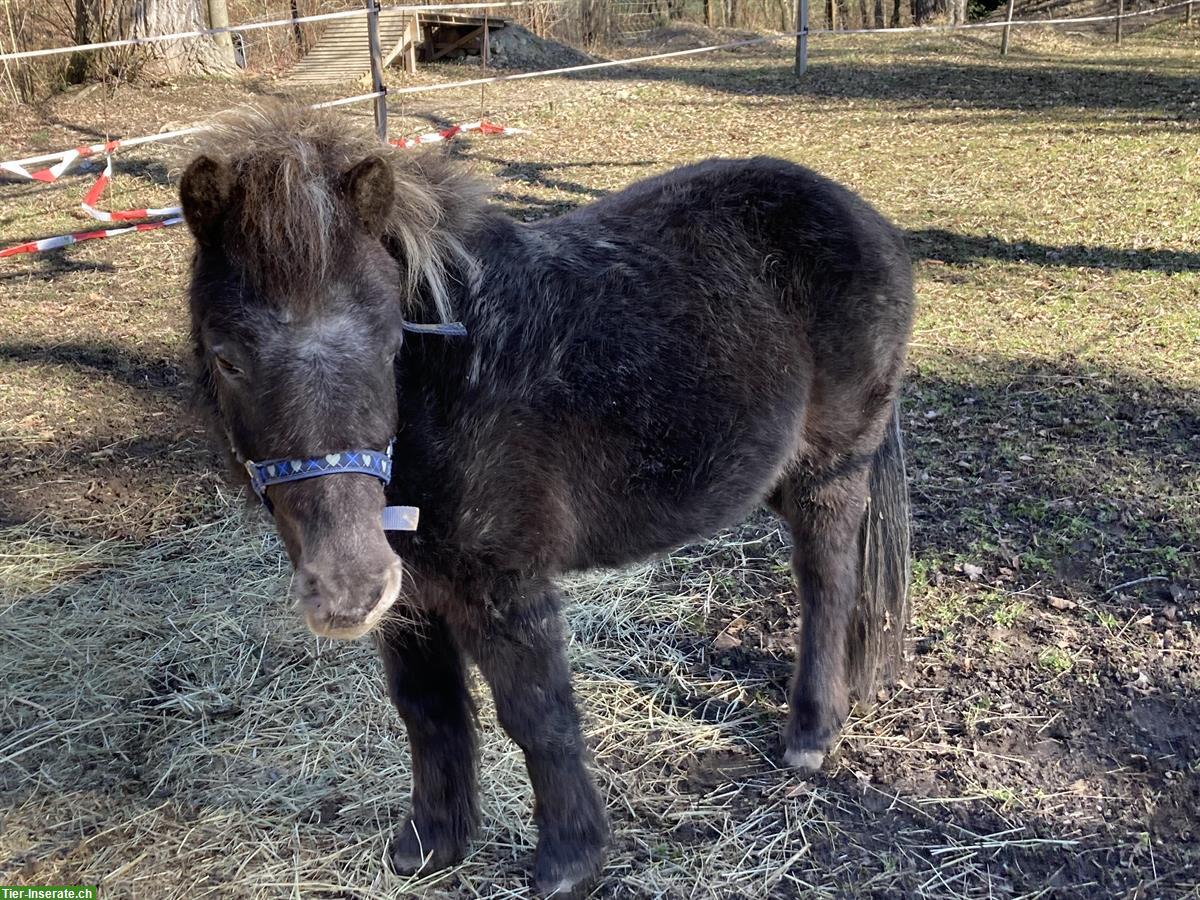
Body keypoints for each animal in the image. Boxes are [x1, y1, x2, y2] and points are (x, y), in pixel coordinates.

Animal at [175, 103, 907, 897]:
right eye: (227, 357)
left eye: (389, 340)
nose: (346, 588)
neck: (446, 388)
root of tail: (864, 218)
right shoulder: (413, 601)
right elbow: (428, 713)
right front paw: (431, 844)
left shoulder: (504, 586)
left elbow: (538, 716)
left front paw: (569, 860)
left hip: (829, 470)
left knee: (827, 576)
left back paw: (812, 731)